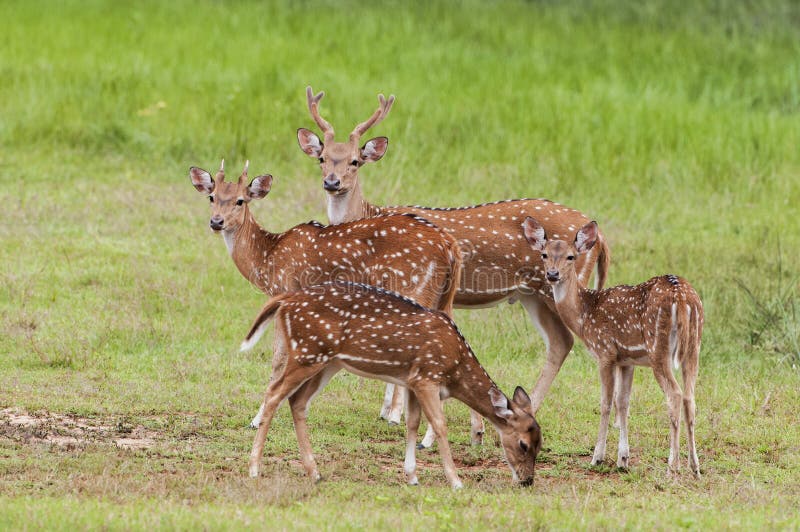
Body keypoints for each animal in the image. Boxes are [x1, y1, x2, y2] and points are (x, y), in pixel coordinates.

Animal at [188, 160, 484, 442]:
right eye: (212, 196)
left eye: (240, 200)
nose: (216, 222)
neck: (268, 259)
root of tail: (450, 246)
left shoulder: (285, 291)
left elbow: (278, 358)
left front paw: (256, 418)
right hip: (443, 298)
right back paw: (472, 431)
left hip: (415, 289)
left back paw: (412, 427)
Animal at [241, 280, 540, 488]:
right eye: (523, 444)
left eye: (540, 443)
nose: (527, 481)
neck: (455, 368)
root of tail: (286, 299)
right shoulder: (427, 377)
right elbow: (439, 425)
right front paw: (455, 481)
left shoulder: (411, 381)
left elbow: (412, 423)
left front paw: (412, 476)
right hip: (307, 352)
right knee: (274, 394)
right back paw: (254, 468)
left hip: (328, 362)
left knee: (297, 401)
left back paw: (314, 472)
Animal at [298, 86, 612, 432]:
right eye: (322, 158)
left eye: (355, 161)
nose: (332, 182)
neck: (369, 216)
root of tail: (601, 237)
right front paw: (387, 410)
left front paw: (394, 414)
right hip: (532, 294)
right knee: (560, 342)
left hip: (559, 285)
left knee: (570, 340)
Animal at [524, 218, 700, 476]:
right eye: (544, 254)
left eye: (571, 256)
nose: (552, 274)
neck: (585, 315)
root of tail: (683, 298)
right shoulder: (626, 360)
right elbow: (623, 402)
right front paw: (623, 459)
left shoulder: (605, 352)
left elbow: (606, 403)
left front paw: (597, 457)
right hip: (694, 348)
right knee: (690, 397)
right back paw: (695, 466)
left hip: (659, 350)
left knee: (675, 395)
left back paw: (673, 466)